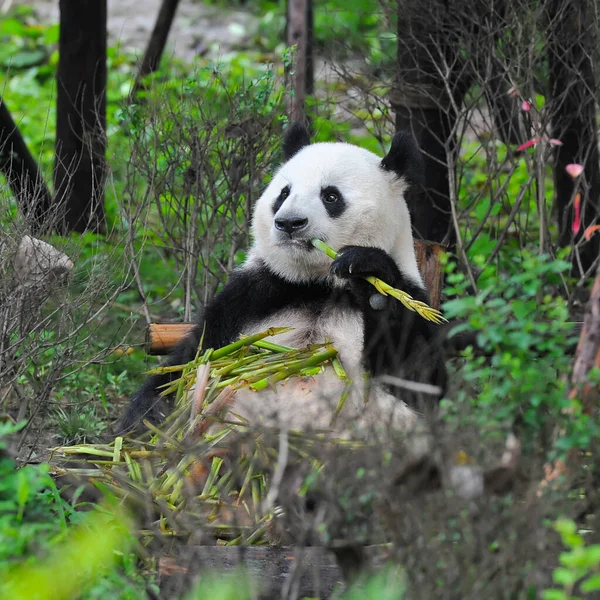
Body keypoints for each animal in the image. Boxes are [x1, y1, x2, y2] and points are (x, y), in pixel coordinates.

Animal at [119, 123, 446, 440]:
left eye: (330, 196)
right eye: (284, 194)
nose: (289, 223)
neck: (318, 285)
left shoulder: (413, 298)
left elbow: (419, 376)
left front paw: (368, 274)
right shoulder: (251, 296)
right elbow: (192, 358)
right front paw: (148, 415)